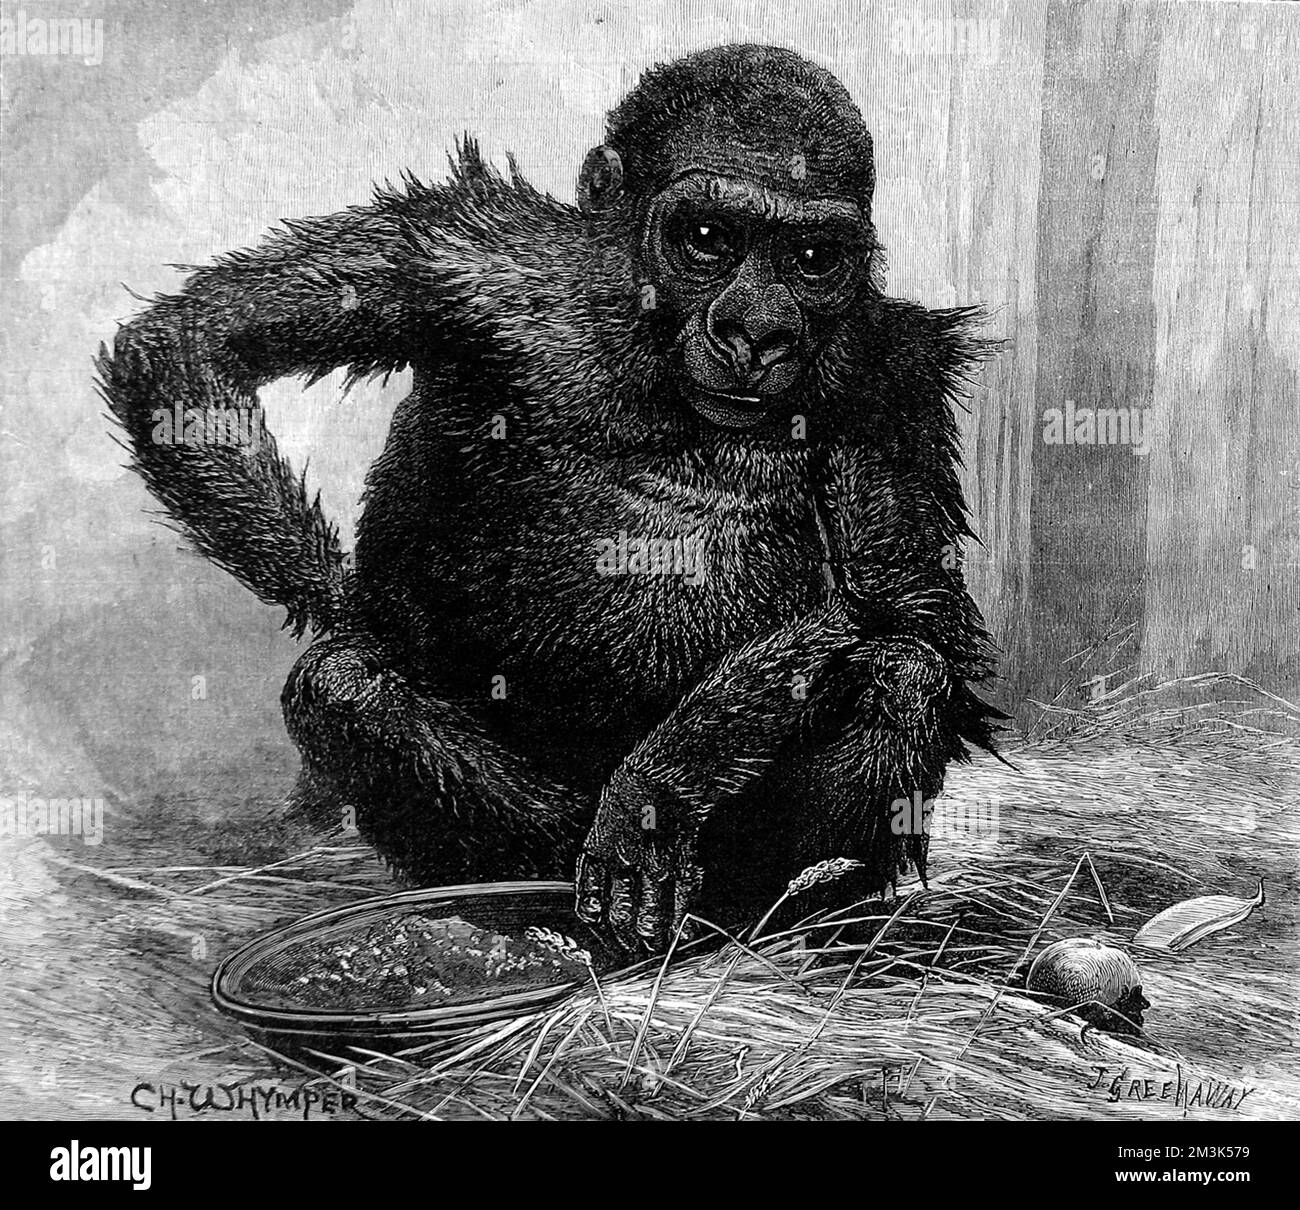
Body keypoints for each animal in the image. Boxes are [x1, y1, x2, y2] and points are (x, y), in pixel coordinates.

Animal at [98, 44, 1004, 953]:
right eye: (708, 238)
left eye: (813, 259)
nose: (758, 330)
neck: (646, 350)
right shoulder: (462, 260)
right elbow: (195, 347)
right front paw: (366, 613)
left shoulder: (892, 376)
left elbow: (904, 606)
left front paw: (660, 783)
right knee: (345, 686)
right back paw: (532, 901)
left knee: (903, 676)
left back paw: (765, 902)